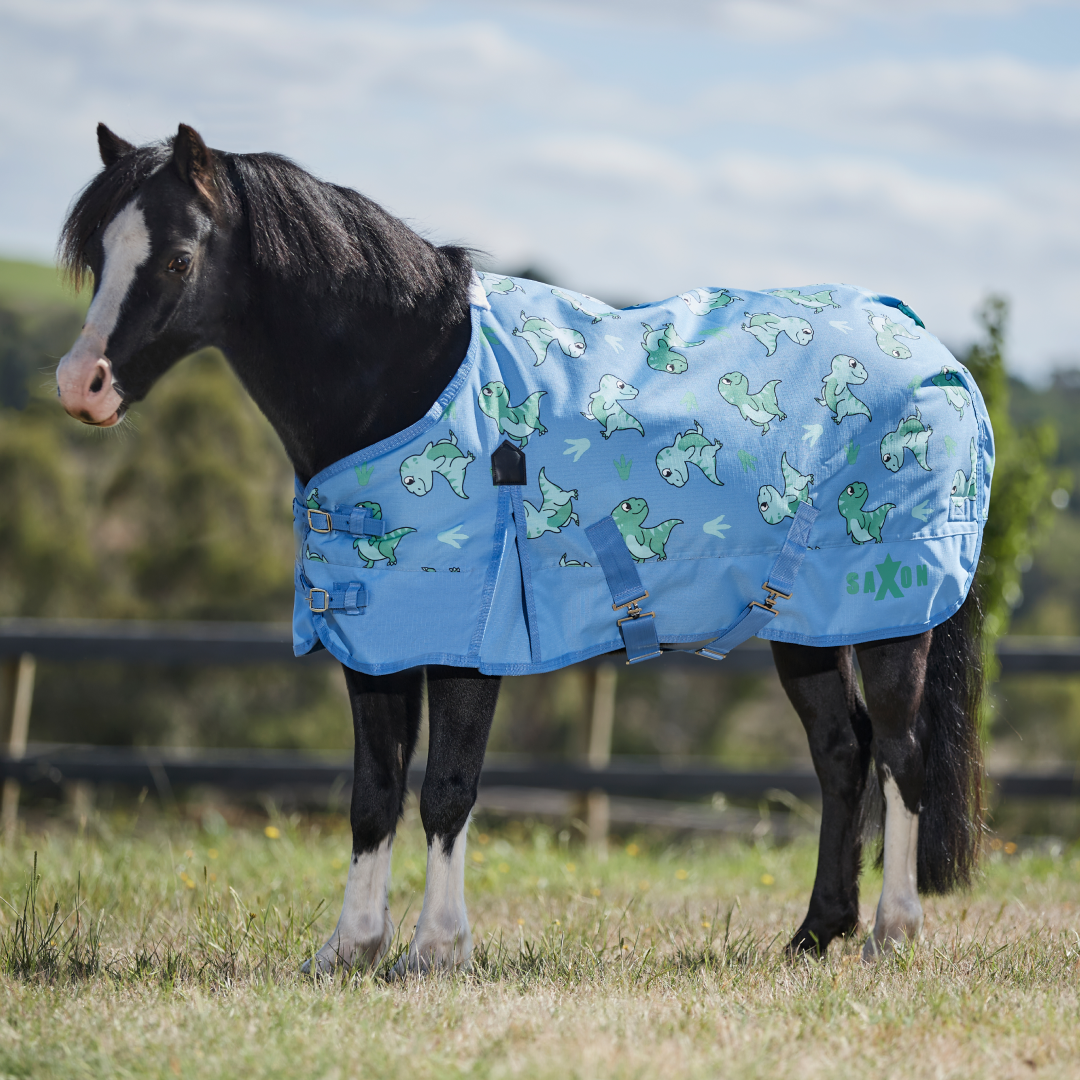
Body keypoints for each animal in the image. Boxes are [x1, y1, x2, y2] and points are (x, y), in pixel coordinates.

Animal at [56, 123, 985, 973]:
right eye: (98, 256)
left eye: (178, 259)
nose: (80, 385)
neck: (412, 378)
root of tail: (929, 347)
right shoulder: (379, 637)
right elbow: (373, 793)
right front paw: (350, 948)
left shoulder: (473, 638)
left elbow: (446, 790)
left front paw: (437, 950)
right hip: (807, 625)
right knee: (842, 754)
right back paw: (816, 933)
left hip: (893, 616)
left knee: (901, 755)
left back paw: (892, 935)